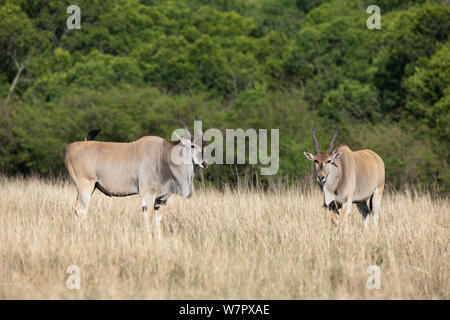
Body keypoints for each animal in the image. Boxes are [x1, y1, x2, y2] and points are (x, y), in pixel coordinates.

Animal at [64, 115, 208, 238]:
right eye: (192, 145)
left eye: (204, 146)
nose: (204, 163)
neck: (164, 156)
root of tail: (70, 147)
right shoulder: (147, 195)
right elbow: (149, 219)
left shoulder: (162, 199)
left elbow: (158, 222)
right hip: (86, 186)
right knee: (81, 210)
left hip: (88, 188)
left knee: (76, 209)